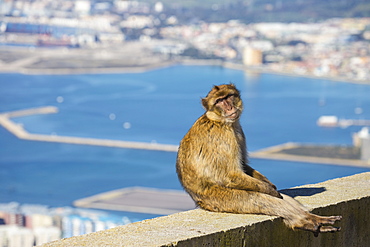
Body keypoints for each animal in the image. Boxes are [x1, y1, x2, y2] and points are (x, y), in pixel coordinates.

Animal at [176, 83, 342, 235]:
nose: (229, 107)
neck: (220, 121)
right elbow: (230, 175)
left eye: (228, 97)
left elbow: (244, 165)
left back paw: (311, 218)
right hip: (220, 199)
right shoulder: (223, 137)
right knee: (260, 199)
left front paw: (270, 185)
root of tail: (200, 201)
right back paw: (303, 222)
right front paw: (269, 189)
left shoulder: (238, 131)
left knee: (282, 198)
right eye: (219, 101)